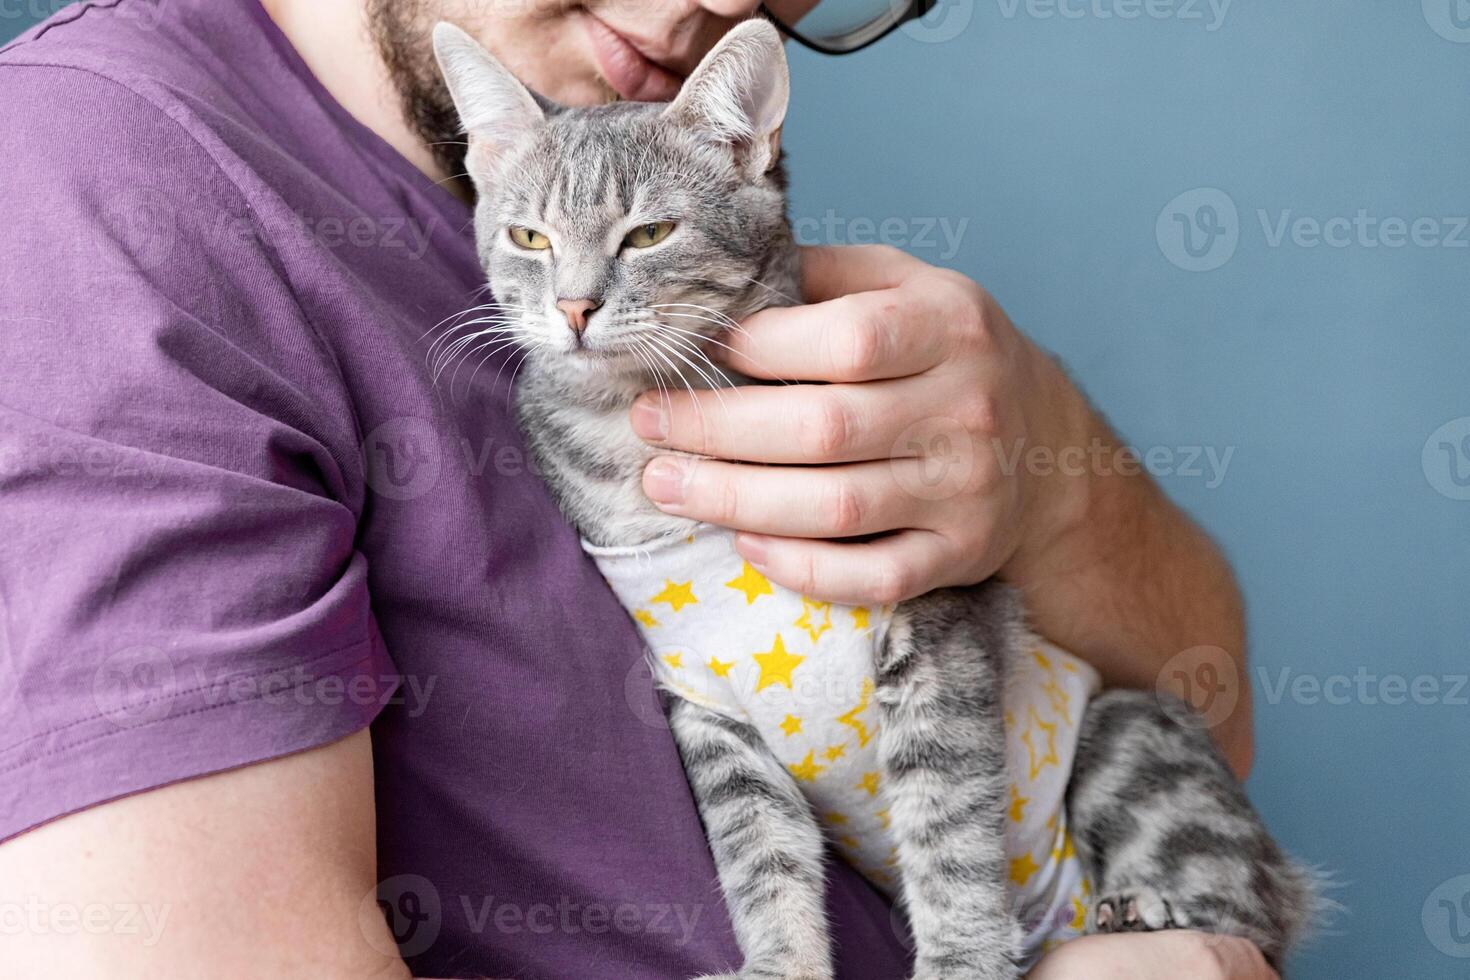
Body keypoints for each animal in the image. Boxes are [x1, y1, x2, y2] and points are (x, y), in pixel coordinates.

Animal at [429, 17, 1317, 980]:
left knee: (1242, 909)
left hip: (1133, 734)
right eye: (529, 238)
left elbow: (948, 827)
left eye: (648, 233)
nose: (575, 307)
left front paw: (963, 959)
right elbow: (760, 853)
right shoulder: (707, 710)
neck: (633, 430)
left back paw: (1143, 913)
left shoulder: (935, 629)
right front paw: (781, 963)